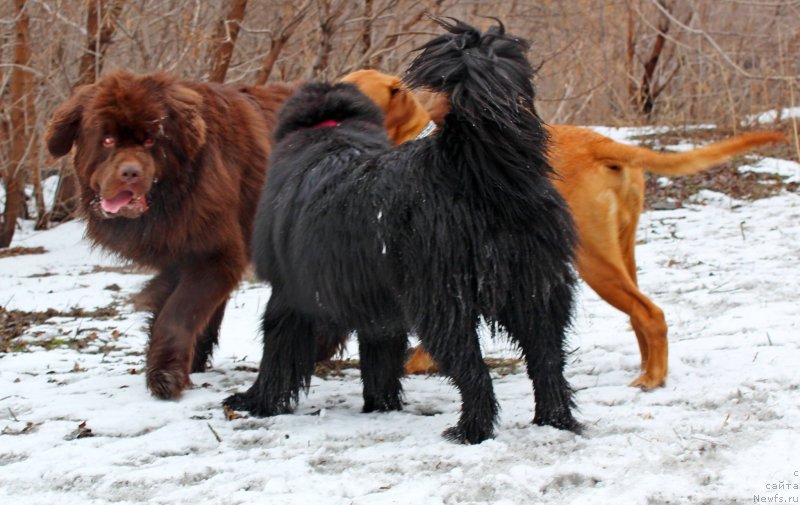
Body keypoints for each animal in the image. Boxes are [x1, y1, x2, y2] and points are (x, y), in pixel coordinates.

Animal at [44, 72, 294, 398]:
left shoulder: (216, 254)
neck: (174, 193)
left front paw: (165, 376)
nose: (130, 172)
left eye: (151, 140)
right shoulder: (177, 247)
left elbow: (177, 314)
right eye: (107, 140)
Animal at [225, 18, 580, 440]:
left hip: (443, 303)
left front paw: (255, 401)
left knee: (474, 373)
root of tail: (469, 170)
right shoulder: (379, 308)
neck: (331, 132)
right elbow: (379, 361)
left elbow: (277, 355)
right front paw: (380, 406)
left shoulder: (290, 293)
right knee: (548, 364)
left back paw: (470, 430)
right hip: (539, 292)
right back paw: (555, 422)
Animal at [340, 68, 784, 390]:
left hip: (592, 258)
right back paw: (649, 370)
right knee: (641, 315)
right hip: (621, 253)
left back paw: (650, 380)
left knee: (650, 313)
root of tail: (601, 144)